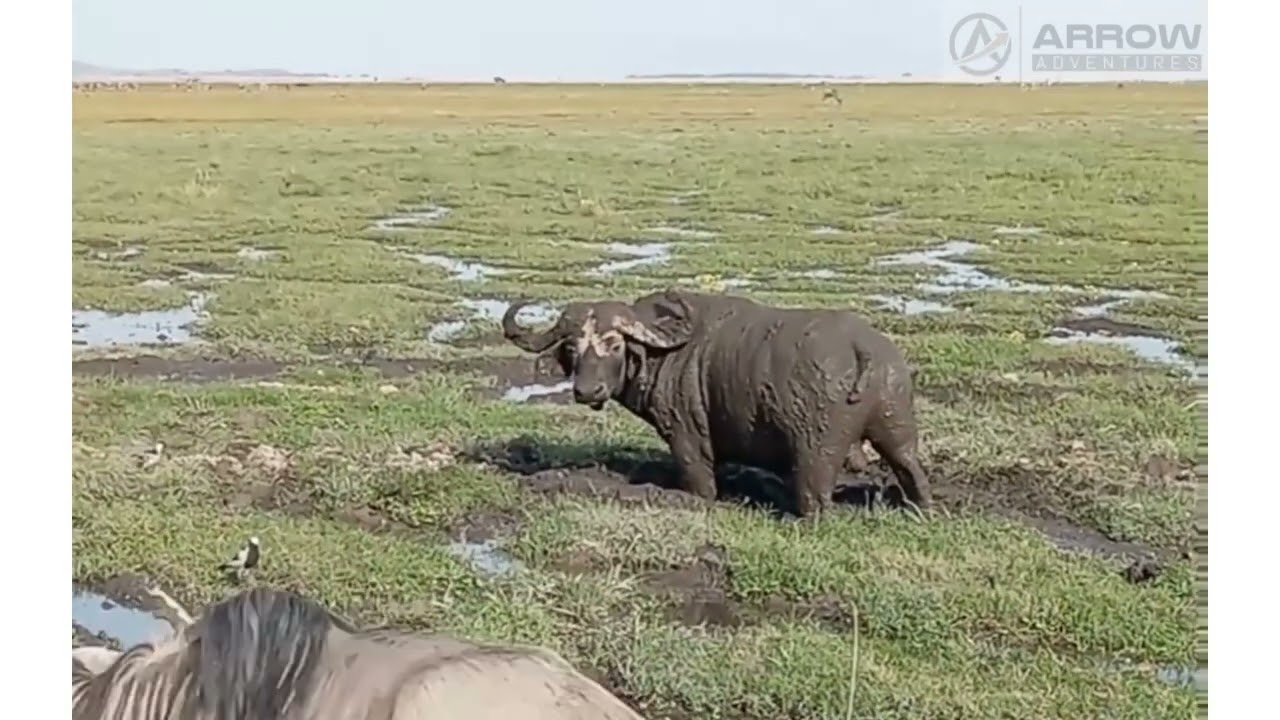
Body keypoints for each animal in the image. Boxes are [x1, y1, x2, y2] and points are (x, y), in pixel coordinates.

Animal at [501, 289, 932, 516]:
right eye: (572, 347)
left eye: (613, 343)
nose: (586, 391)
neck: (664, 352)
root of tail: (863, 346)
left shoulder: (687, 438)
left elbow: (701, 484)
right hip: (896, 427)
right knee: (910, 468)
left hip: (816, 449)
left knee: (816, 494)